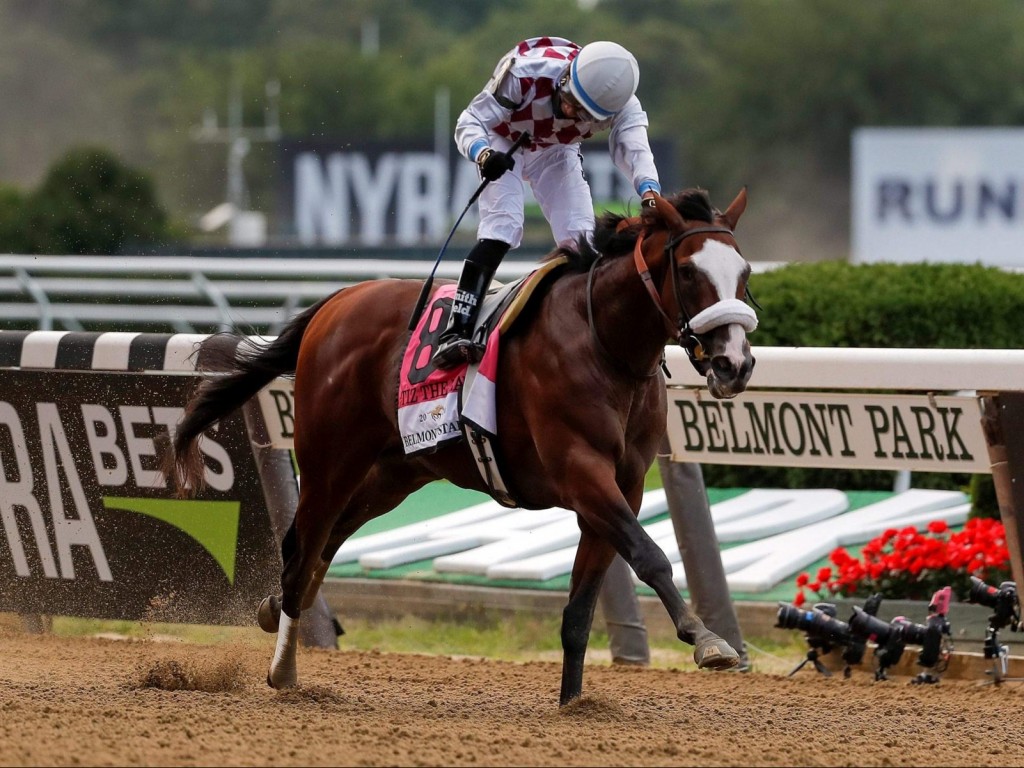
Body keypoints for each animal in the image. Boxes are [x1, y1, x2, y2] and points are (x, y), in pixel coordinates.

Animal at [163, 189, 761, 708]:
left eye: (745, 273)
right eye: (690, 271)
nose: (735, 363)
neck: (603, 344)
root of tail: (338, 300)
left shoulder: (623, 487)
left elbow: (581, 609)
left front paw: (573, 704)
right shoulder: (582, 473)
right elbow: (650, 554)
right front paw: (707, 640)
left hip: (393, 475)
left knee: (319, 546)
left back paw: (272, 611)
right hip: (330, 459)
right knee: (301, 552)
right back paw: (283, 670)